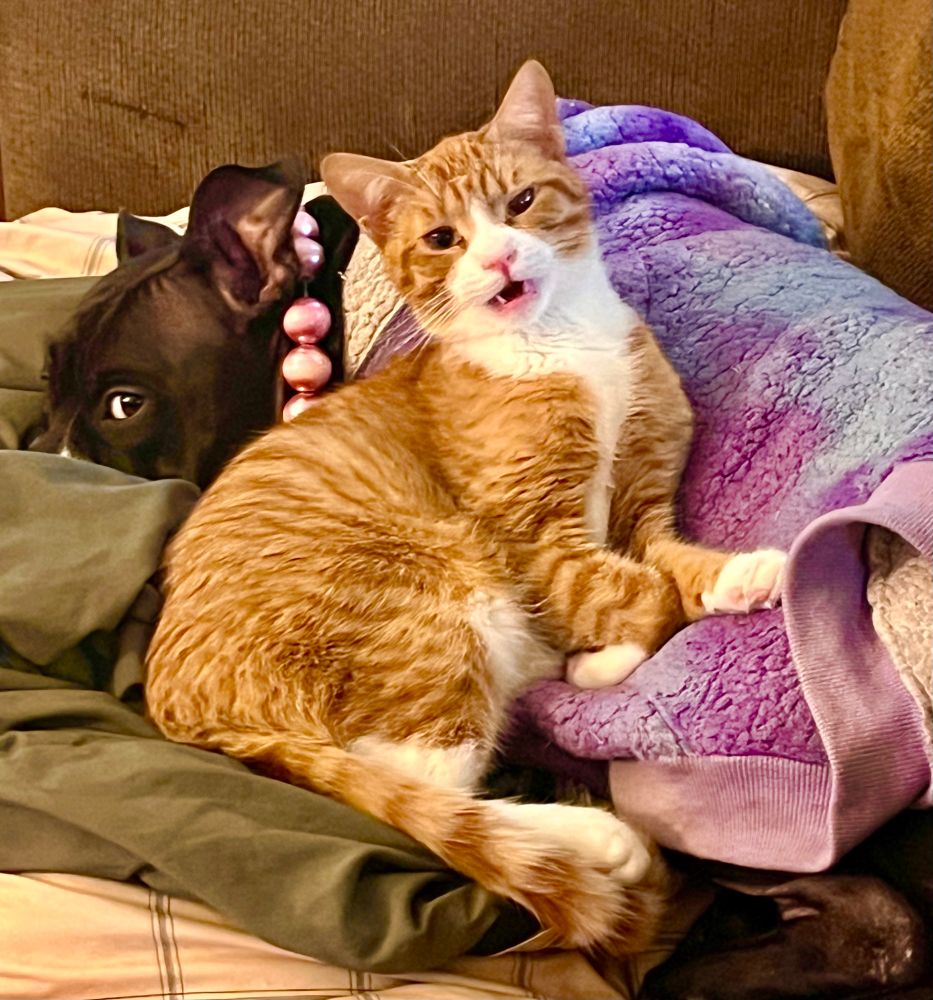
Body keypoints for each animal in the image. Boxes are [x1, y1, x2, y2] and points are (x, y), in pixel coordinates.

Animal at [145, 61, 785, 955]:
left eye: (520, 202)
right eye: (442, 239)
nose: (499, 254)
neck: (565, 346)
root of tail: (178, 709)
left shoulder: (640, 503)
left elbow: (667, 563)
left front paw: (741, 576)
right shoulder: (531, 538)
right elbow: (644, 596)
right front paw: (603, 661)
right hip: (437, 590)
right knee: (424, 789)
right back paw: (596, 833)